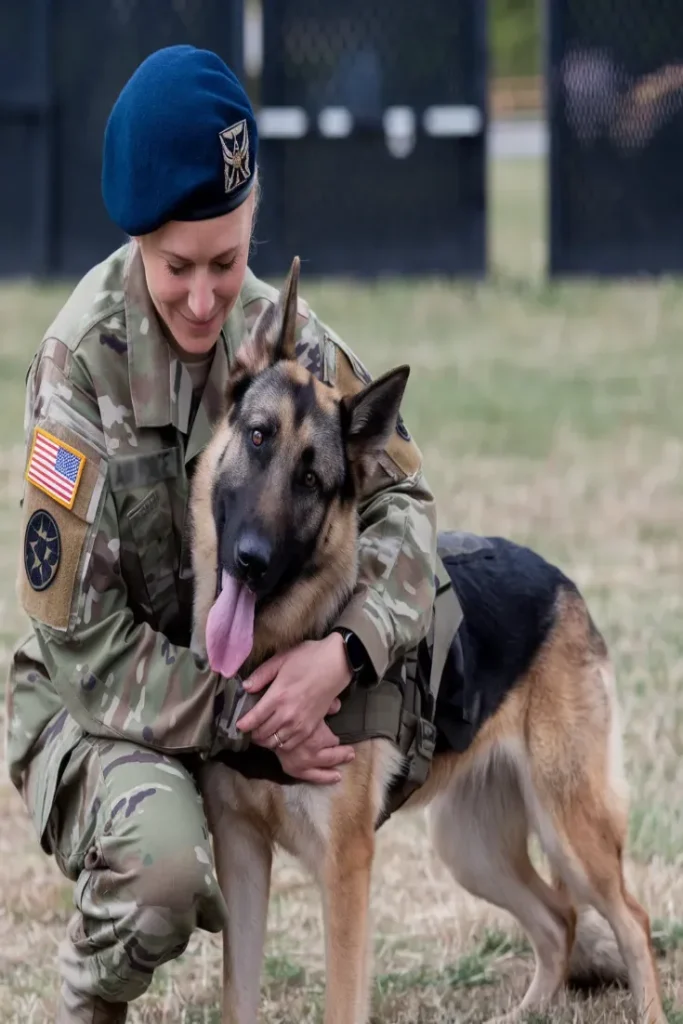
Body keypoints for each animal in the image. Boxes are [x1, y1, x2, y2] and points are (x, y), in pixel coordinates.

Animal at [189, 258, 663, 1024]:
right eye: (257, 437)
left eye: (312, 479)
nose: (251, 561)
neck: (288, 641)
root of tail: (559, 578)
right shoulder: (240, 855)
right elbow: (239, 998)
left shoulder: (345, 871)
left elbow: (342, 1003)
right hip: (470, 848)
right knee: (558, 917)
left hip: (569, 829)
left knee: (628, 917)